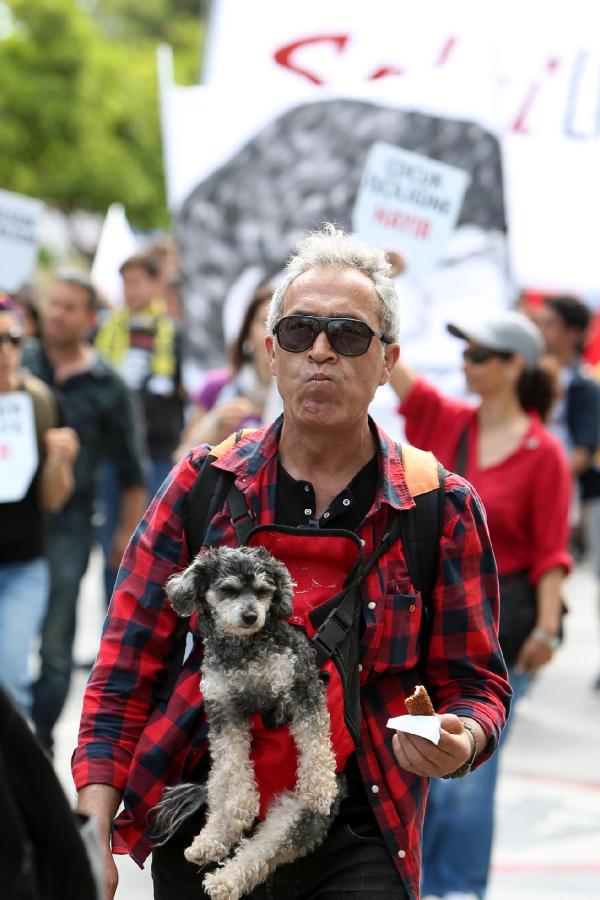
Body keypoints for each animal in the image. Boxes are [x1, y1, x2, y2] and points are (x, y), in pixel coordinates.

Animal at [152, 545, 342, 900]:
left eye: (264, 591)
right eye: (228, 590)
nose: (251, 616)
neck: (244, 651)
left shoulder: (301, 689)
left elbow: (316, 743)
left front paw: (320, 787)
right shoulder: (224, 711)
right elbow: (234, 769)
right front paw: (241, 806)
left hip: (291, 817)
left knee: (259, 854)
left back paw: (225, 881)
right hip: (217, 785)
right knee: (221, 802)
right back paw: (210, 842)